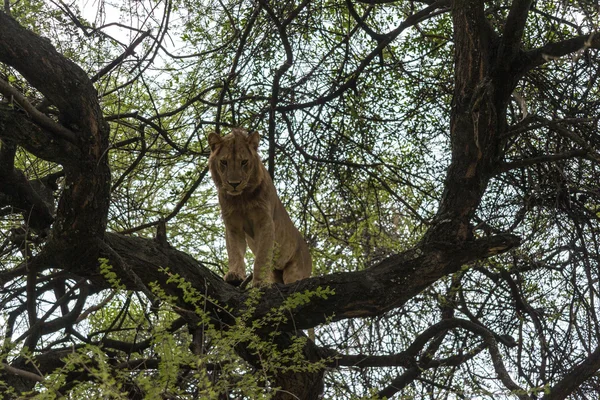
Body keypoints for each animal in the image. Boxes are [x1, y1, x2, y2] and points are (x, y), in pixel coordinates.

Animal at [207, 128, 312, 288]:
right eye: (224, 162)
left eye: (244, 162)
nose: (234, 184)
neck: (241, 198)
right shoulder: (232, 225)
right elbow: (235, 252)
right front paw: (234, 275)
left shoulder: (265, 223)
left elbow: (262, 257)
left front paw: (260, 282)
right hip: (275, 272)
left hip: (296, 269)